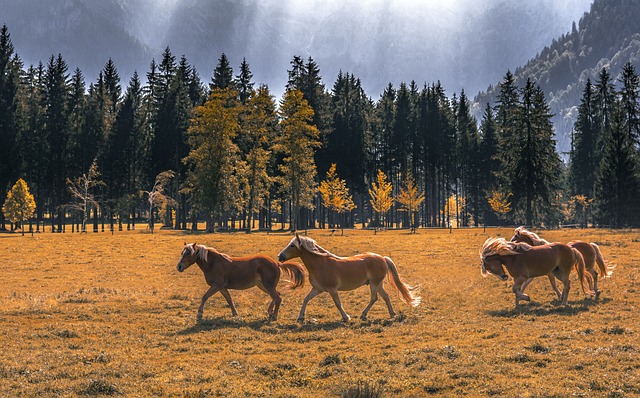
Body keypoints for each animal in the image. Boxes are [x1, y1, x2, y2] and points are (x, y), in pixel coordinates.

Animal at [175, 241, 304, 322]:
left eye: (188, 253)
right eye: (182, 253)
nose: (179, 267)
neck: (213, 263)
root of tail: (276, 263)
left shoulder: (217, 286)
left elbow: (205, 297)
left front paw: (199, 314)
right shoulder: (222, 287)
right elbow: (229, 299)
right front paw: (235, 314)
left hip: (268, 286)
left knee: (277, 298)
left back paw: (274, 316)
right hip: (263, 286)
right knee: (277, 296)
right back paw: (270, 312)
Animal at [276, 233, 420, 324]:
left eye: (292, 245)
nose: (279, 256)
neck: (321, 263)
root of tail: (383, 258)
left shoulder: (332, 289)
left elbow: (338, 303)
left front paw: (346, 317)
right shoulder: (318, 289)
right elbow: (306, 300)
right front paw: (300, 317)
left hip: (374, 283)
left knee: (374, 298)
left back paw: (363, 315)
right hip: (378, 284)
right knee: (385, 297)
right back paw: (392, 314)